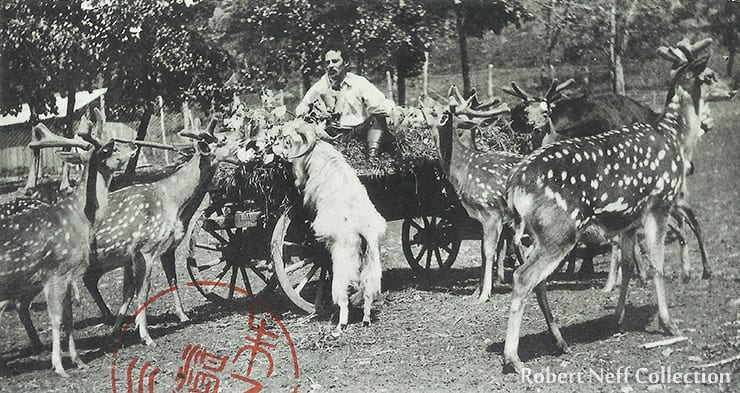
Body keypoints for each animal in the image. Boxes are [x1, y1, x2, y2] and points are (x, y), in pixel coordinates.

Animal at [0, 115, 134, 376]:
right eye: (111, 148)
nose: (133, 146)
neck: (78, 217)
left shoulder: (69, 273)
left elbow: (69, 318)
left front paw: (78, 361)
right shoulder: (55, 272)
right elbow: (56, 318)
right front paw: (59, 366)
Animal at [500, 38, 736, 372]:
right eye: (711, 75)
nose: (732, 89)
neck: (675, 138)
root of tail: (514, 185)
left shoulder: (628, 220)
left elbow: (627, 265)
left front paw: (617, 318)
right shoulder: (658, 204)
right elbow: (656, 264)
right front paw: (668, 324)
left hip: (539, 233)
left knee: (537, 280)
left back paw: (560, 342)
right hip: (560, 232)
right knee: (523, 278)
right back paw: (514, 358)